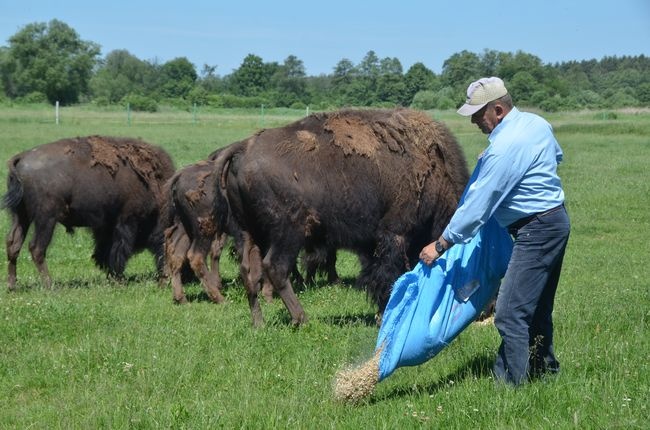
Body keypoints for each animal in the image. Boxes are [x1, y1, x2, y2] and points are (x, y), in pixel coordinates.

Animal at [1, 134, 175, 288]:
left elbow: (106, 250)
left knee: (13, 244)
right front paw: (119, 280)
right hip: (46, 219)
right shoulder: (126, 220)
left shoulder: (107, 225)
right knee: (36, 248)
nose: (166, 276)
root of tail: (21, 157)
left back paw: (12, 286)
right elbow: (118, 251)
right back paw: (50, 286)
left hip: (21, 216)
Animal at [215, 108, 468, 326]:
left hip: (248, 232)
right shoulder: (395, 234)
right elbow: (390, 273)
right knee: (275, 267)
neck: (435, 169)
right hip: (288, 233)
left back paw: (259, 323)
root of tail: (243, 148)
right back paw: (302, 319)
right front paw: (383, 314)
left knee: (249, 271)